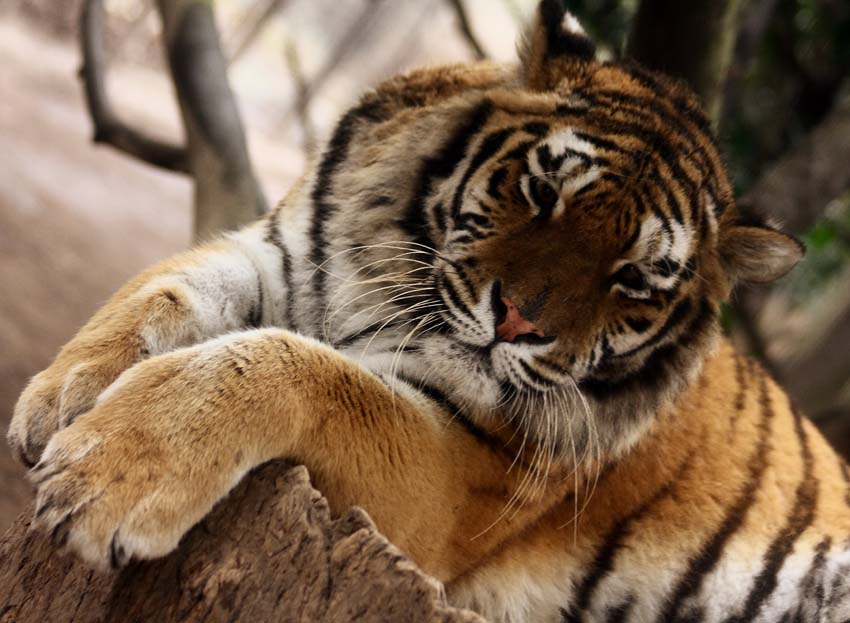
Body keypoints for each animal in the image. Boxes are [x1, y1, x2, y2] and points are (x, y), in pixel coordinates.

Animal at [7, 1, 850, 621]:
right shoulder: (280, 250)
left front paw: (102, 480)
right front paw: (59, 397)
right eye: (544, 190)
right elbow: (161, 289)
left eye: (636, 278)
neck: (390, 265)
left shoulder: (461, 465)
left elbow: (296, 366)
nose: (518, 322)